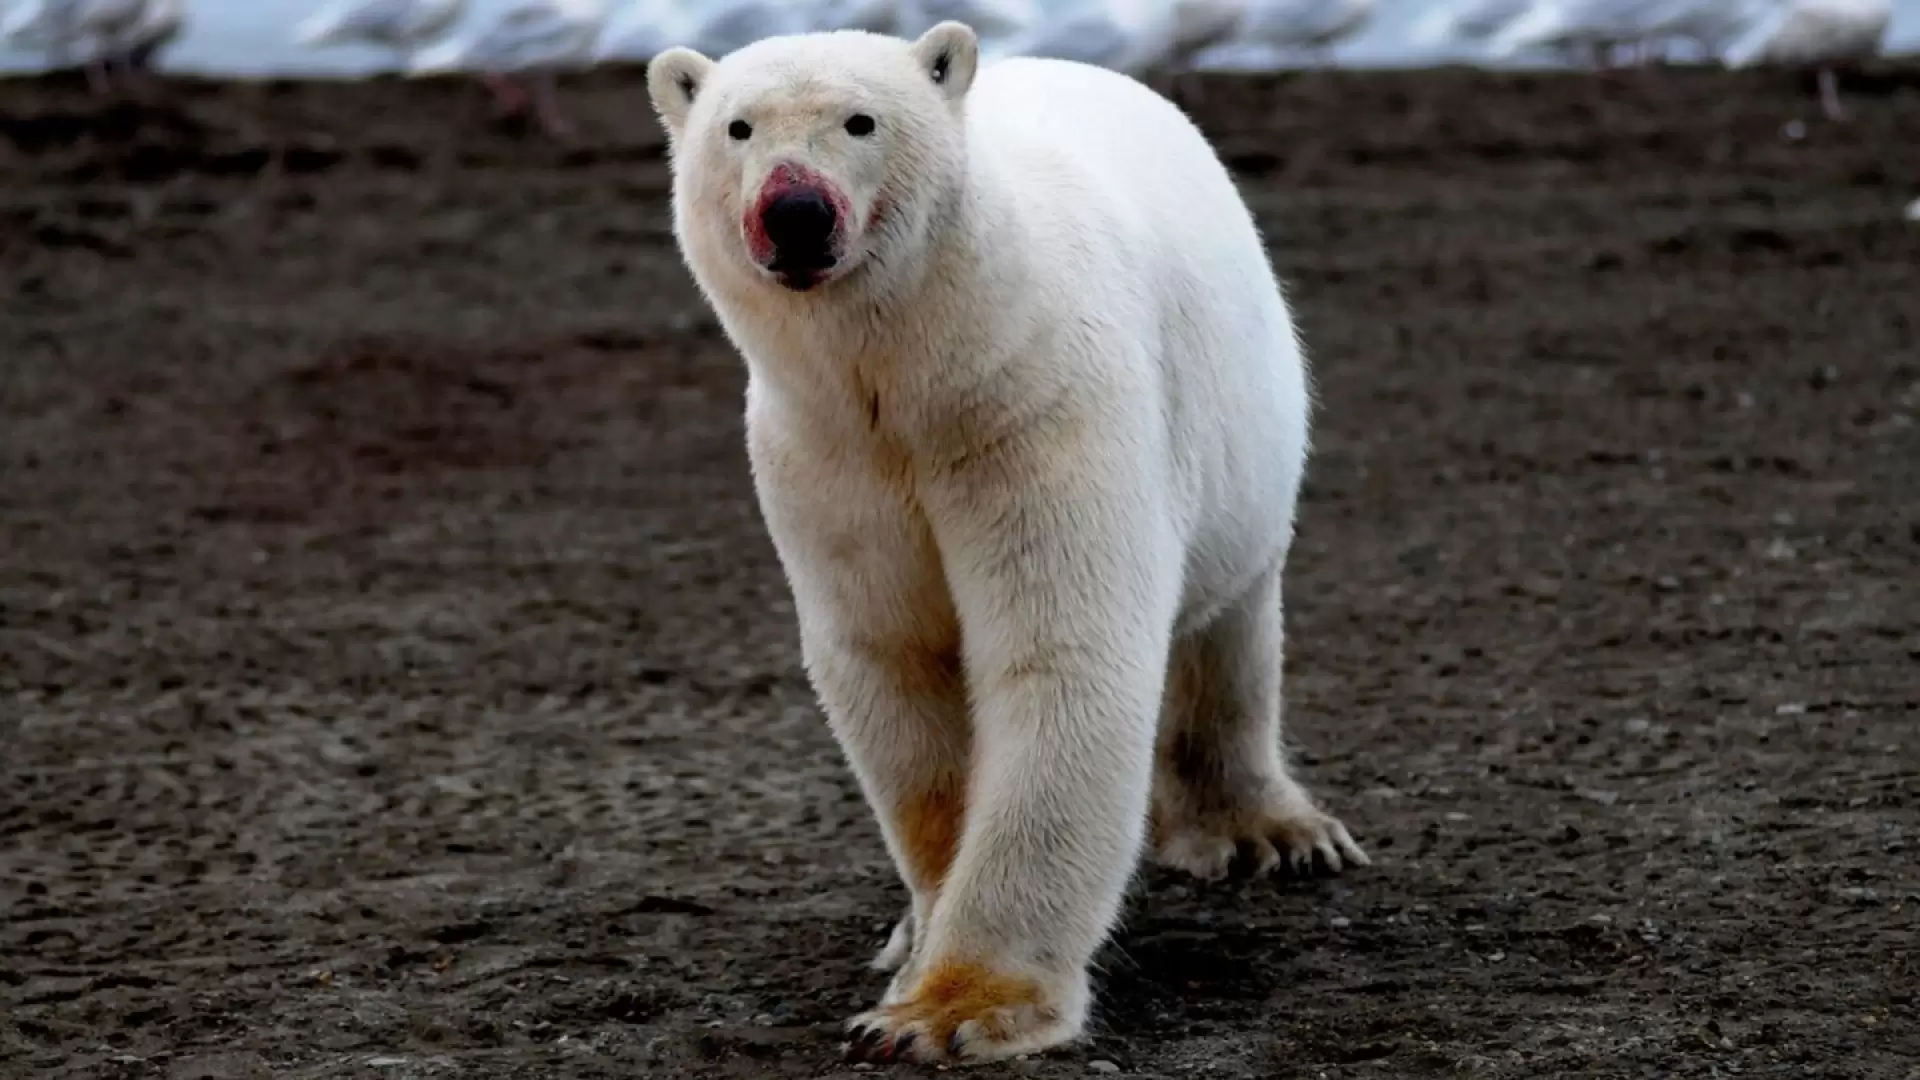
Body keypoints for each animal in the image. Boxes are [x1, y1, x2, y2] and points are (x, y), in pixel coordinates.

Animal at [645, 22, 1370, 1064]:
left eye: (860, 121)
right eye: (737, 127)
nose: (794, 211)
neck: (919, 373)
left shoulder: (1035, 406)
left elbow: (1058, 652)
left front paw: (946, 1013)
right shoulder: (829, 460)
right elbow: (892, 658)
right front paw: (918, 952)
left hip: (1246, 434)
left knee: (1229, 622)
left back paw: (1268, 833)